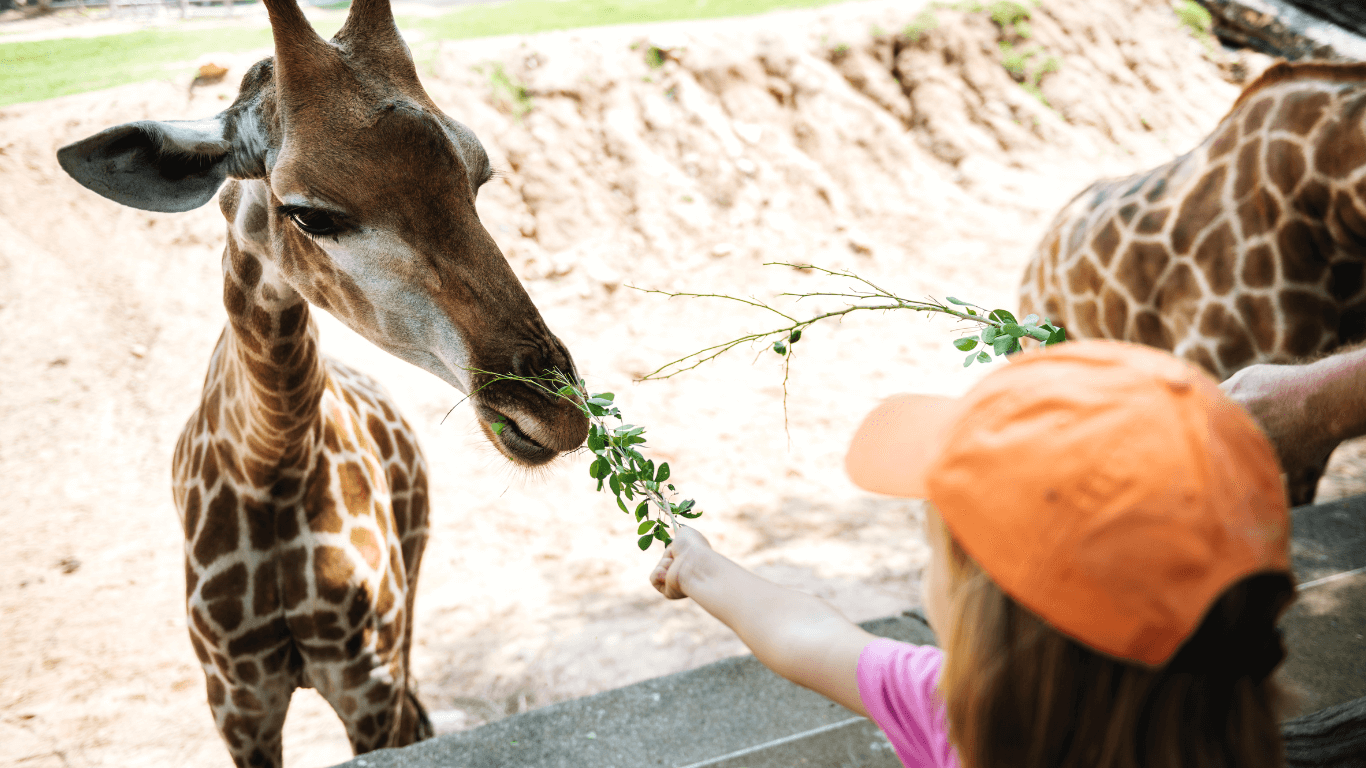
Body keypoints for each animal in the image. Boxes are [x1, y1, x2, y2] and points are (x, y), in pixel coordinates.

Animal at [54, 0, 587, 759]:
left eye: (478, 175)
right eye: (308, 212)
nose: (554, 411)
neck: (270, 461)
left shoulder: (366, 679)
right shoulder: (237, 701)